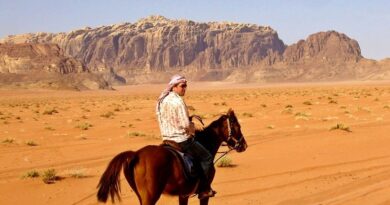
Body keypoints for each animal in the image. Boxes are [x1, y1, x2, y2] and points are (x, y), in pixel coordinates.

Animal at [96, 108, 247, 204]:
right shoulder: (204, 195)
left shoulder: (183, 194)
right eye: (238, 127)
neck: (206, 144)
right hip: (150, 197)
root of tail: (136, 154)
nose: (244, 145)